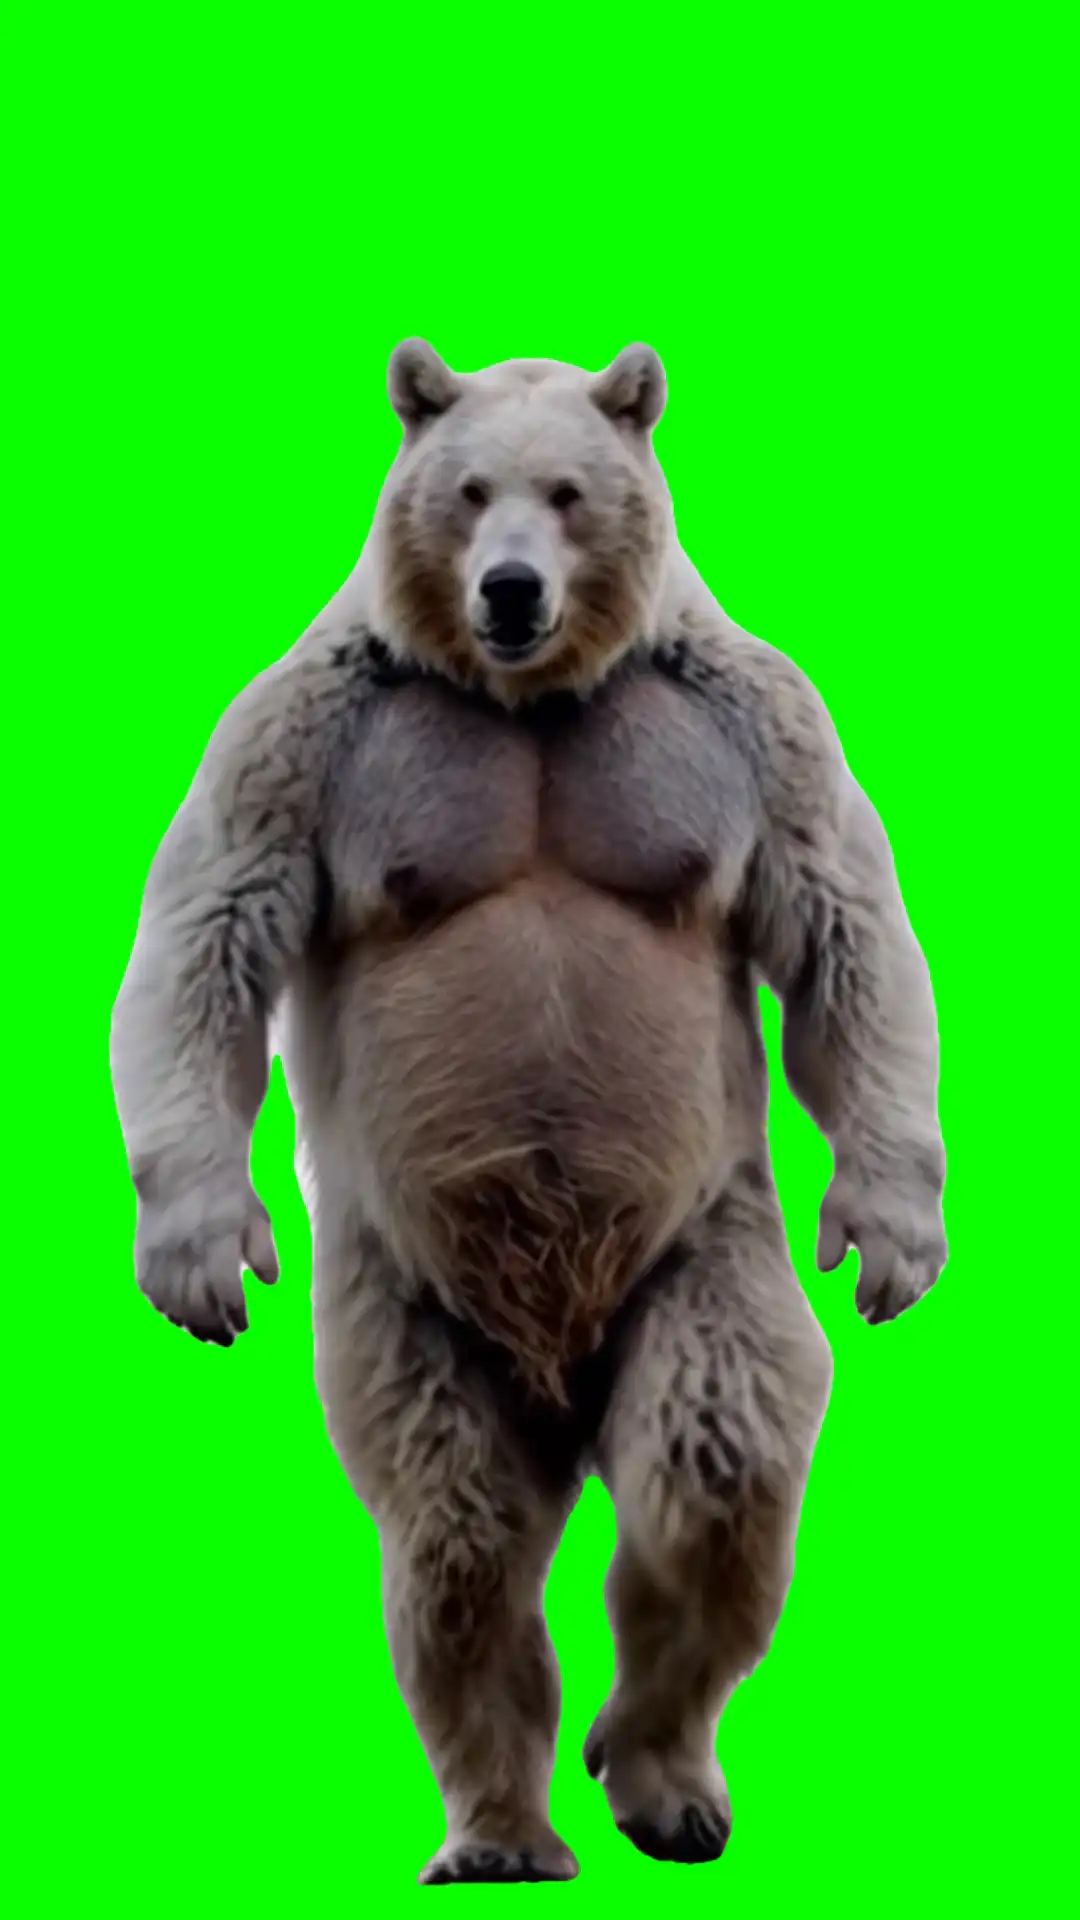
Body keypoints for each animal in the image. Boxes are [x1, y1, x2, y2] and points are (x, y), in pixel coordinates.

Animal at [110, 340, 947, 1885]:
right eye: (466, 490)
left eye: (567, 490)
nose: (510, 588)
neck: (531, 697)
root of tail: (556, 1365)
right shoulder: (312, 738)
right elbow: (208, 931)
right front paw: (200, 1250)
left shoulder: (742, 728)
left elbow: (843, 925)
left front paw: (890, 1235)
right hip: (411, 1297)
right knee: (459, 1531)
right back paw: (500, 1823)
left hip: (693, 1237)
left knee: (714, 1444)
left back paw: (660, 1769)